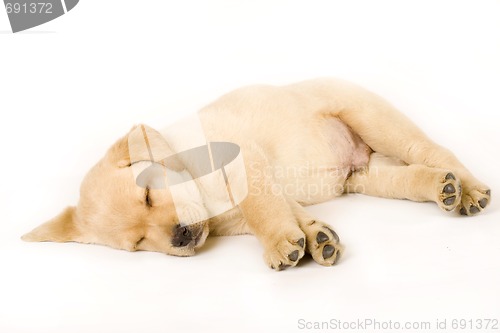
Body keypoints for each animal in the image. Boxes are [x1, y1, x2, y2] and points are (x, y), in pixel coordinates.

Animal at [21, 78, 490, 270]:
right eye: (137, 244)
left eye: (149, 197)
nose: (179, 238)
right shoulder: (254, 206)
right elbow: (286, 211)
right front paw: (314, 239)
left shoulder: (246, 161)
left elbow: (260, 204)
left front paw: (284, 243)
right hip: (367, 174)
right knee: (412, 177)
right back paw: (444, 189)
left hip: (372, 118)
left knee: (431, 150)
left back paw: (469, 190)